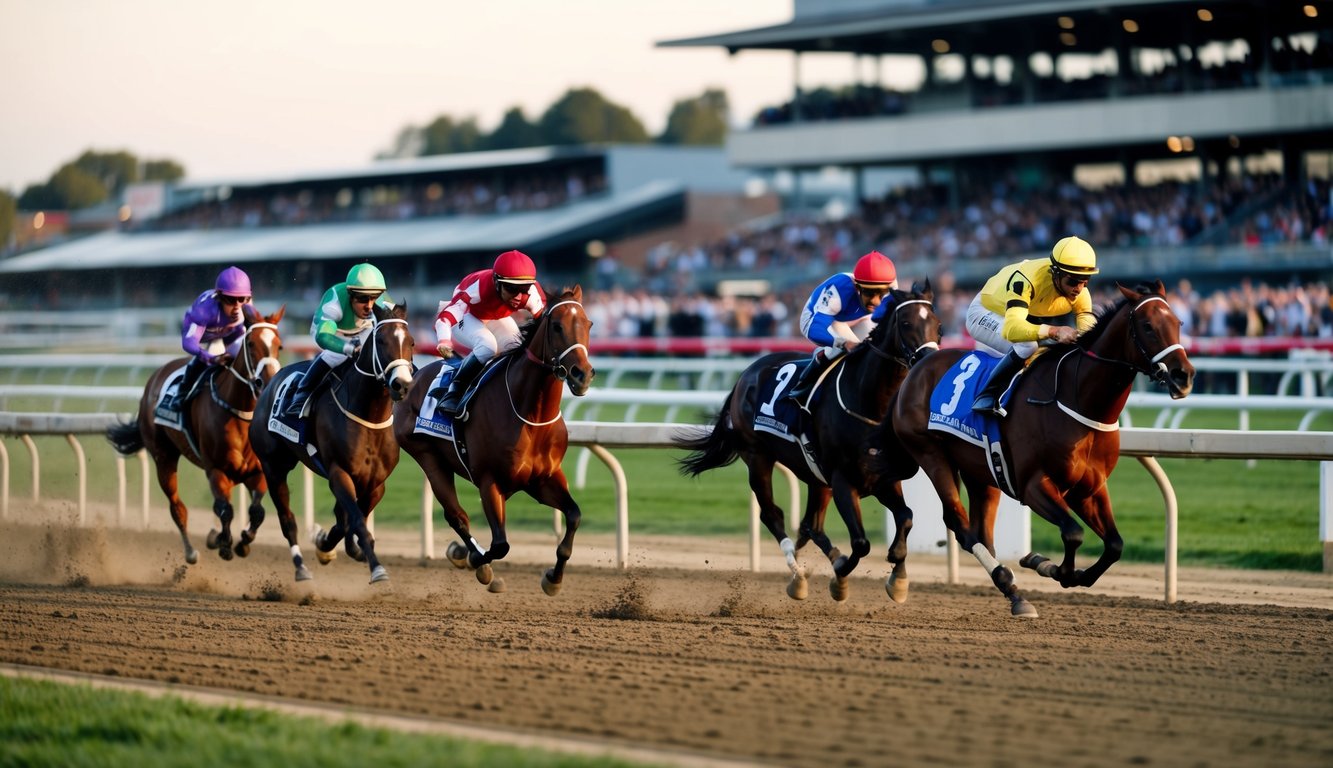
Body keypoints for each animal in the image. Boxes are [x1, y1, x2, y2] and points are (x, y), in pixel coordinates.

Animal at [107, 302, 286, 568]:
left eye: (279, 345)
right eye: (251, 344)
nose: (268, 381)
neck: (238, 412)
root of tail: (154, 378)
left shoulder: (257, 471)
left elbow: (256, 511)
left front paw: (242, 542)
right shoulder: (216, 469)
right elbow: (225, 510)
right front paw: (224, 544)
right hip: (163, 457)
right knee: (177, 508)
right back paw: (191, 551)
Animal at [247, 300, 413, 581]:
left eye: (411, 341)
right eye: (380, 340)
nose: (401, 384)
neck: (368, 416)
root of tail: (270, 383)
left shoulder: (376, 484)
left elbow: (350, 519)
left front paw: (330, 544)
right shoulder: (339, 473)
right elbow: (355, 521)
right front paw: (376, 567)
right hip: (273, 466)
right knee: (286, 518)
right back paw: (300, 567)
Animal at [391, 286, 597, 594]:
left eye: (588, 324)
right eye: (557, 326)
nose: (581, 375)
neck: (530, 415)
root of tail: (414, 377)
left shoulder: (543, 480)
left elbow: (574, 515)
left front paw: (553, 579)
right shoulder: (490, 482)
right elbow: (500, 545)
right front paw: (475, 560)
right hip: (428, 458)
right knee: (456, 515)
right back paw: (468, 555)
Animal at [671, 282, 943, 600]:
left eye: (938, 325)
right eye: (906, 323)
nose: (927, 361)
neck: (869, 402)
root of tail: (745, 375)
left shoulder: (883, 478)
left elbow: (906, 517)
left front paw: (898, 578)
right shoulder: (842, 479)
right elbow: (861, 543)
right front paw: (840, 579)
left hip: (815, 477)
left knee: (810, 525)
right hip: (758, 457)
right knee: (773, 515)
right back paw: (798, 575)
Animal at [890, 282, 1194, 618]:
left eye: (1178, 323)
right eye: (1148, 326)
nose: (1183, 375)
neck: (1078, 400)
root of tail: (919, 366)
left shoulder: (1089, 488)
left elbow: (1114, 545)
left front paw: (1052, 565)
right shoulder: (1034, 485)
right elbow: (1073, 533)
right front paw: (1052, 567)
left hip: (981, 470)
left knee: (982, 532)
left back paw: (1013, 592)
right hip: (930, 454)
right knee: (961, 524)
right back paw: (1002, 578)